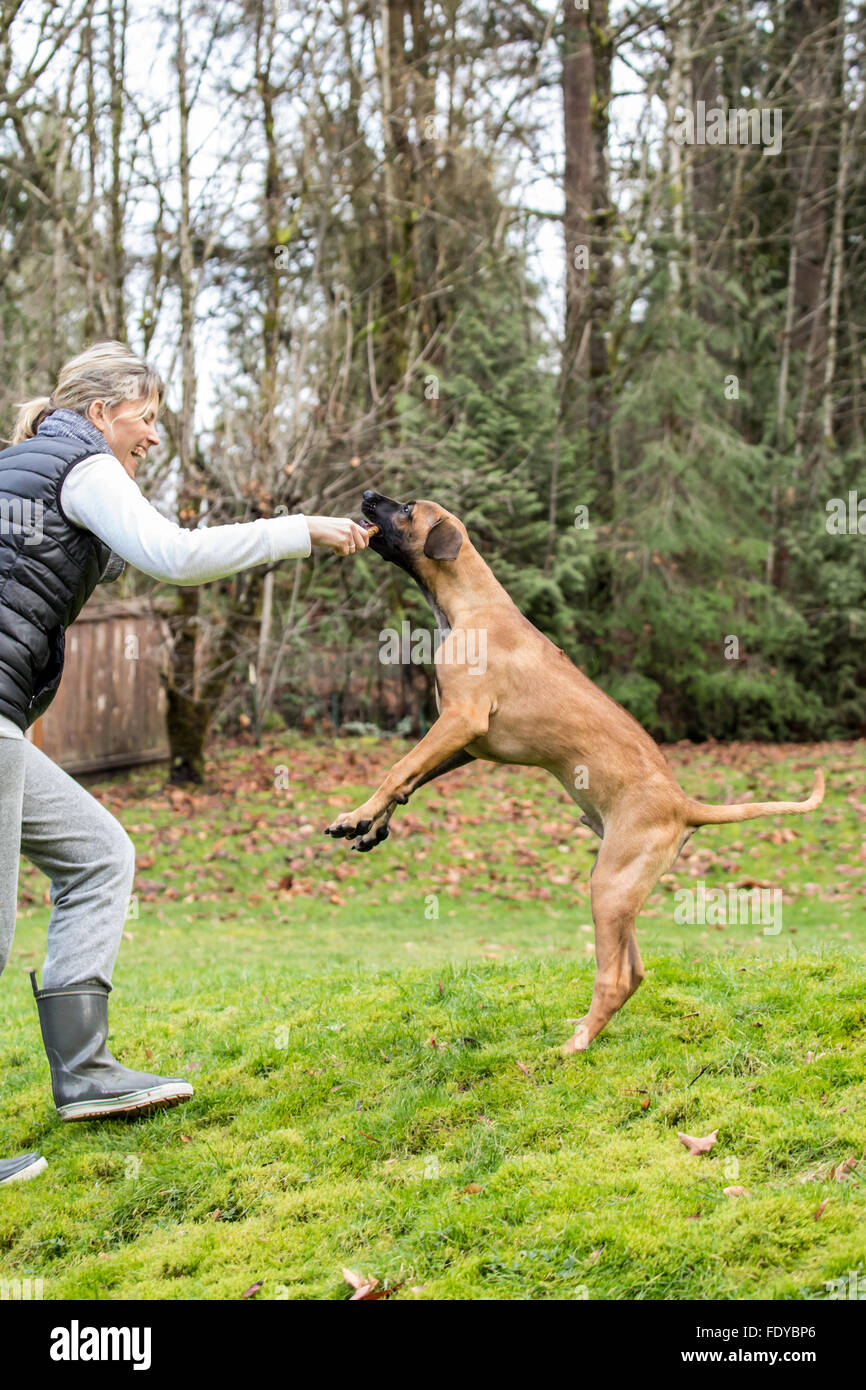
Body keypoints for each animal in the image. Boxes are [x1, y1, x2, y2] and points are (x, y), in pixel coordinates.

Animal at [325, 494, 828, 1045]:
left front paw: (355, 816)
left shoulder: (460, 721)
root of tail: (683, 805)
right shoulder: (464, 742)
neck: (471, 604)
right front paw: (372, 825)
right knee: (634, 970)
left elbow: (398, 769)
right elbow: (408, 782)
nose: (369, 495)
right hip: (616, 884)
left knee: (615, 977)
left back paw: (577, 1044)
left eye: (408, 508)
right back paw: (584, 1026)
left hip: (610, 886)